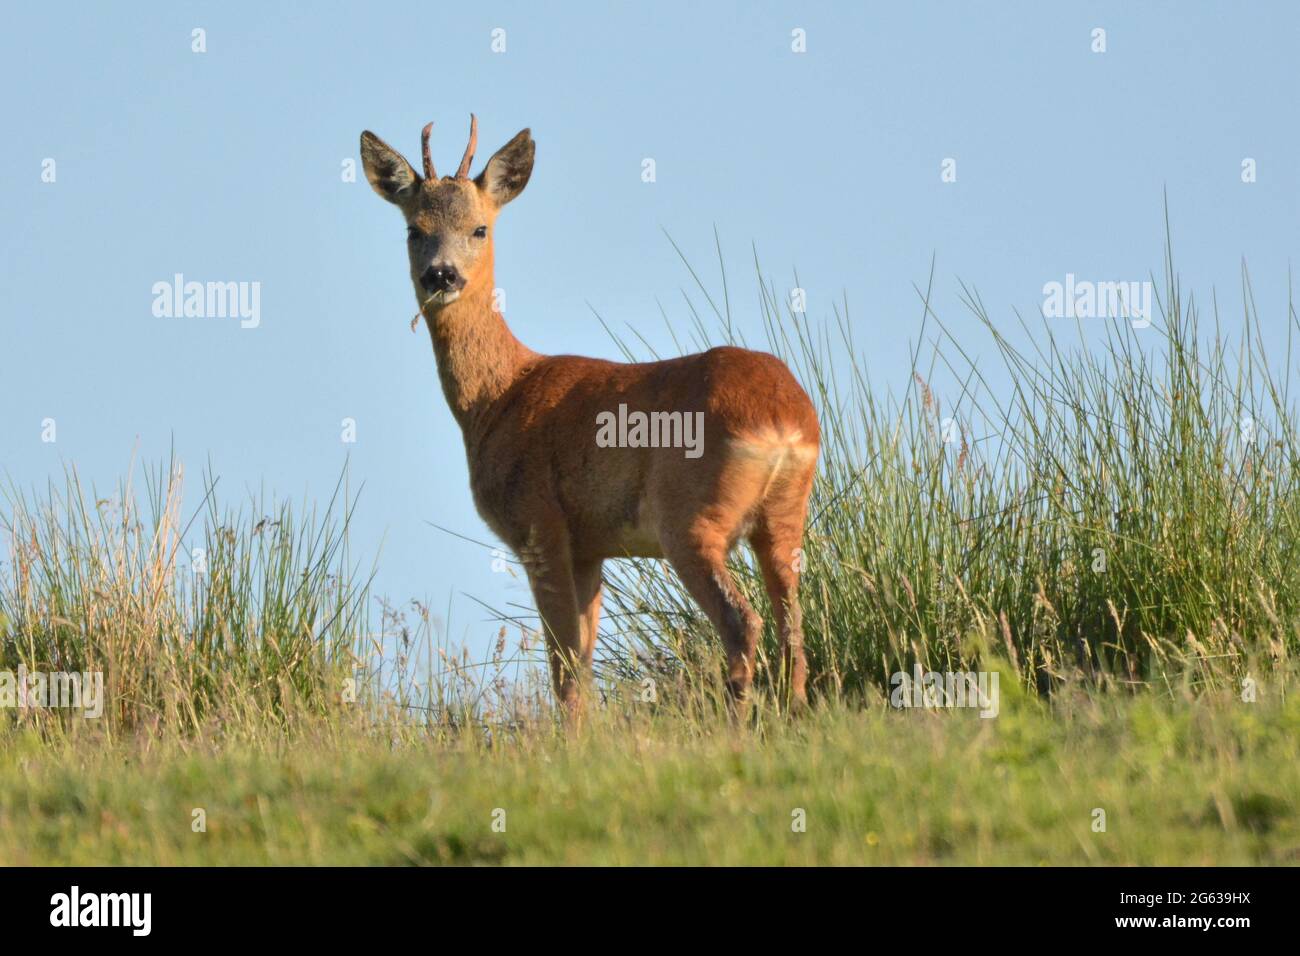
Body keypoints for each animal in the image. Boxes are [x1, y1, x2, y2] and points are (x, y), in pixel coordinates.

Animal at [361, 115, 816, 723]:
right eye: (413, 230)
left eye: (480, 229)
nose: (442, 275)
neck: (499, 397)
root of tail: (785, 418)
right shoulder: (591, 546)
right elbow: (583, 656)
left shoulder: (540, 525)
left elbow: (564, 664)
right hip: (784, 519)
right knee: (794, 622)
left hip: (690, 518)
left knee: (743, 622)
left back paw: (736, 725)